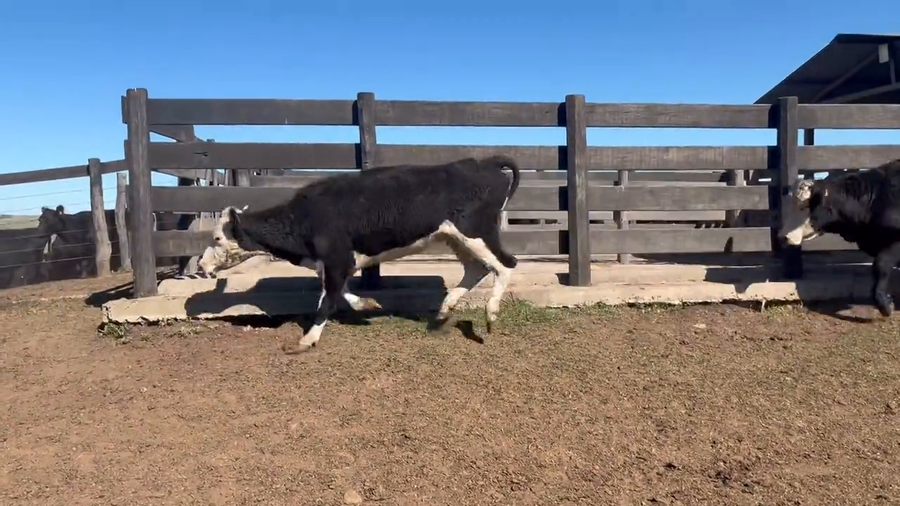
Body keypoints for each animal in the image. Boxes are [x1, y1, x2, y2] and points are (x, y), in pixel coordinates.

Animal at [199, 155, 522, 353]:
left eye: (217, 238)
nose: (201, 265)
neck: (304, 217)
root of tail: (483, 162)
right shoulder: (335, 262)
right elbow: (337, 292)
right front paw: (365, 304)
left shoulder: (336, 258)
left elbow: (327, 300)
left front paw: (307, 339)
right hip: (456, 238)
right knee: (476, 269)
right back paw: (442, 313)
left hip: (476, 231)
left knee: (506, 264)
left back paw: (491, 314)